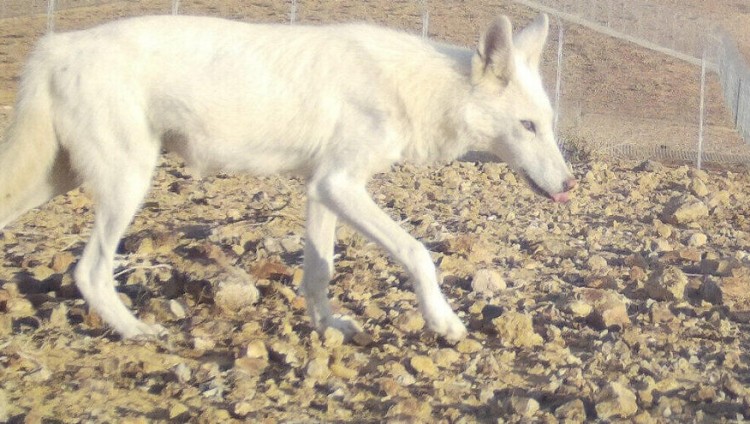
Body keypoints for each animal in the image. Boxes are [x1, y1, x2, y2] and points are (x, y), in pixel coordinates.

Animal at [0, 13, 575, 342]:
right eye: (528, 126)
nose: (569, 185)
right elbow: (419, 254)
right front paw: (445, 322)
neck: (417, 88)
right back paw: (139, 331)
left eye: (548, 124)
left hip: (58, 179)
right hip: (128, 182)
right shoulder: (341, 185)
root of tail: (56, 46)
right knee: (90, 272)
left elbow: (318, 273)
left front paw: (329, 328)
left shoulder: (322, 189)